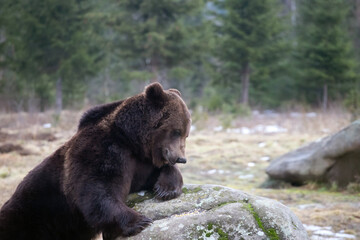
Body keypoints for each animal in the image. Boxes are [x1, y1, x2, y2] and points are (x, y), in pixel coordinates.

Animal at [0, 83, 191, 240]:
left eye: (186, 133)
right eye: (176, 131)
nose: (181, 158)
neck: (131, 139)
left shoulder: (139, 163)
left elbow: (155, 174)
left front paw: (166, 189)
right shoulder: (101, 150)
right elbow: (97, 189)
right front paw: (139, 221)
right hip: (30, 215)